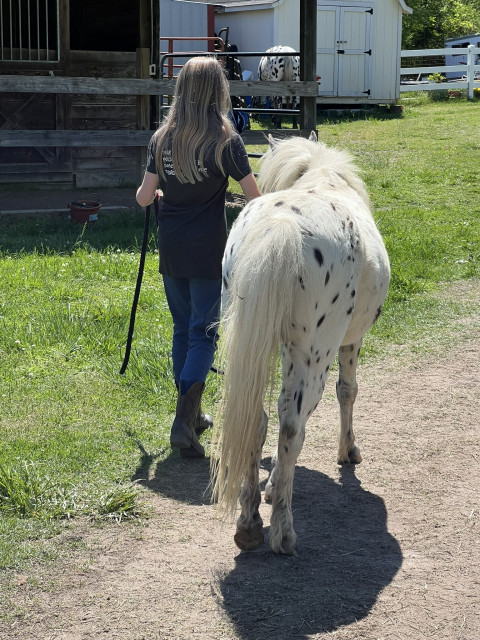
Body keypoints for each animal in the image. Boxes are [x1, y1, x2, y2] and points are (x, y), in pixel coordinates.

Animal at [212, 131, 392, 556]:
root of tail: (282, 227)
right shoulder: (350, 343)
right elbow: (347, 391)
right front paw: (347, 452)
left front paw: (270, 486)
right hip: (315, 355)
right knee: (292, 425)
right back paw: (282, 532)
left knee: (257, 419)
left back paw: (249, 524)